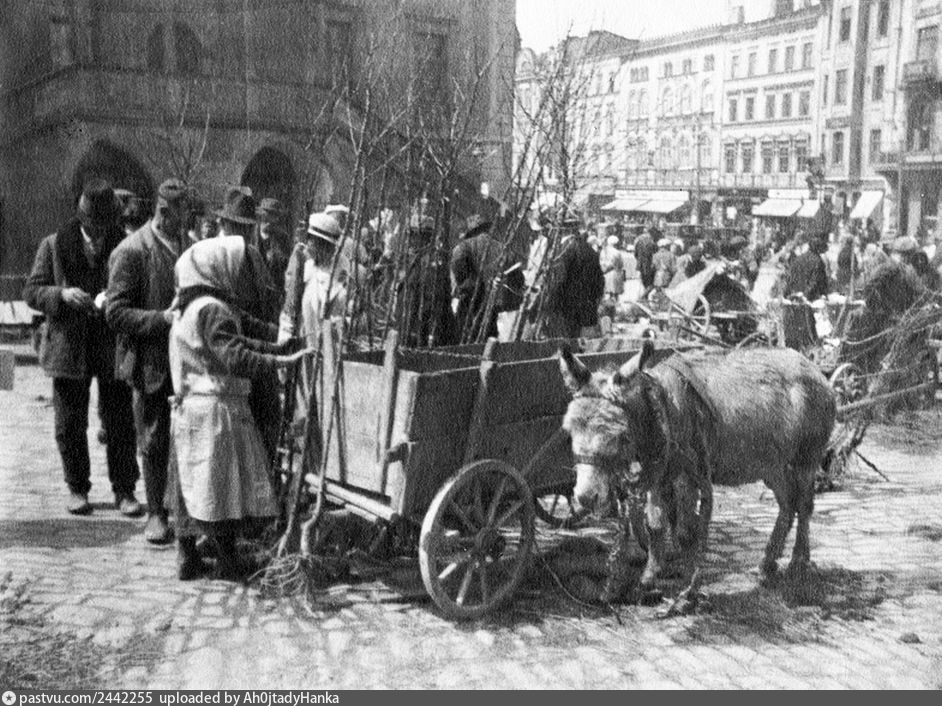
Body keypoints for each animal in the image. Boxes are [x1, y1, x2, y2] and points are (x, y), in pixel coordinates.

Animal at [558, 340, 836, 613]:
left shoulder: (687, 478)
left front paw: (687, 594)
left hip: (806, 458)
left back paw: (798, 562)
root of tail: (813, 368)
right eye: (569, 430)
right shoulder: (658, 477)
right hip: (772, 465)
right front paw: (648, 582)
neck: (661, 411)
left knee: (804, 505)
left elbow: (685, 533)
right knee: (787, 505)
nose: (586, 497)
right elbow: (655, 526)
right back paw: (767, 565)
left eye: (619, 435)